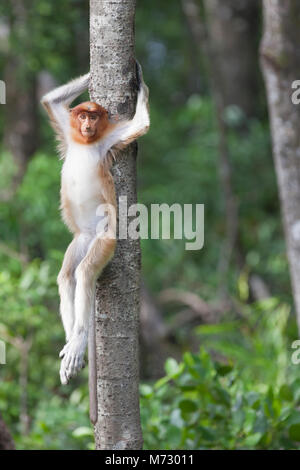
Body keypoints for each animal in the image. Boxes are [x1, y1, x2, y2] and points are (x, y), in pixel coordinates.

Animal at [40, 60, 150, 424]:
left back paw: (78, 341)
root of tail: (91, 235)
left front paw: (139, 76)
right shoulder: (67, 128)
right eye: (83, 116)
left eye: (94, 116)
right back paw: (71, 340)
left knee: (85, 273)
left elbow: (141, 124)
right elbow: (50, 102)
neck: (87, 143)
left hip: (104, 241)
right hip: (81, 240)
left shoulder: (111, 138)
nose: (87, 124)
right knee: (66, 276)